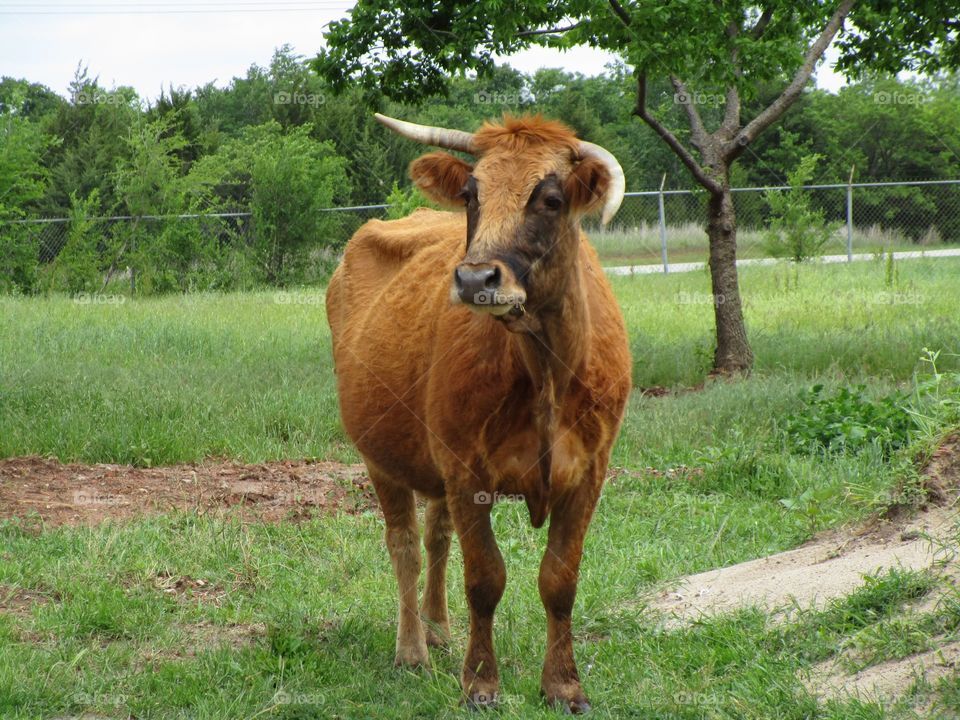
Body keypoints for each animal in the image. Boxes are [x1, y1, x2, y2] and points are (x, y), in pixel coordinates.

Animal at [326, 114, 632, 716]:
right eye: (471, 195)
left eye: (551, 199)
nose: (473, 280)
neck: (544, 370)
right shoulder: (467, 470)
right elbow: (485, 578)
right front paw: (481, 683)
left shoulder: (591, 469)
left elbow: (560, 579)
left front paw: (563, 686)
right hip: (381, 457)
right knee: (405, 546)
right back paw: (413, 649)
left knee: (436, 538)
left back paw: (439, 630)